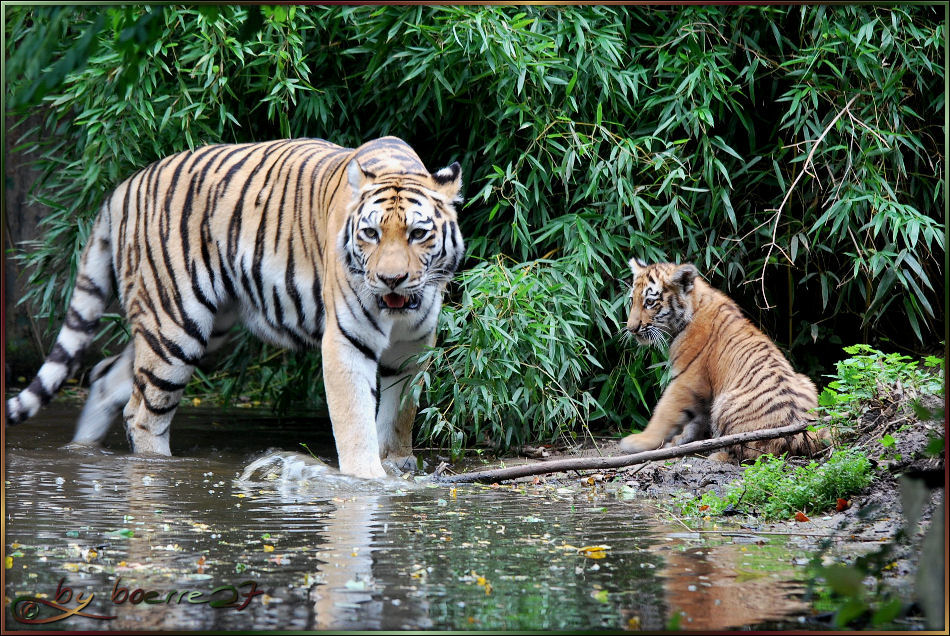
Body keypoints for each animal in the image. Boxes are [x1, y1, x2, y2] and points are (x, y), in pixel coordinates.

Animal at [5, 137, 466, 480]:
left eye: (418, 234)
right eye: (370, 234)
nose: (391, 280)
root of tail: (123, 187)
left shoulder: (414, 346)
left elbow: (401, 410)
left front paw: (397, 462)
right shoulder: (346, 342)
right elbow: (354, 418)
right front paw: (366, 478)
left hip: (201, 326)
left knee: (104, 376)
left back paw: (80, 450)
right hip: (175, 324)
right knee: (142, 411)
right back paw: (158, 465)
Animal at [616, 258, 824, 462]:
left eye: (650, 302)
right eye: (632, 300)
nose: (631, 329)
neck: (693, 307)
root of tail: (804, 432)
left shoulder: (686, 380)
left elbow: (664, 412)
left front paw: (638, 441)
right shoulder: (705, 392)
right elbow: (695, 420)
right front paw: (680, 440)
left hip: (725, 404)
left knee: (753, 452)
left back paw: (717, 455)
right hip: (805, 381)